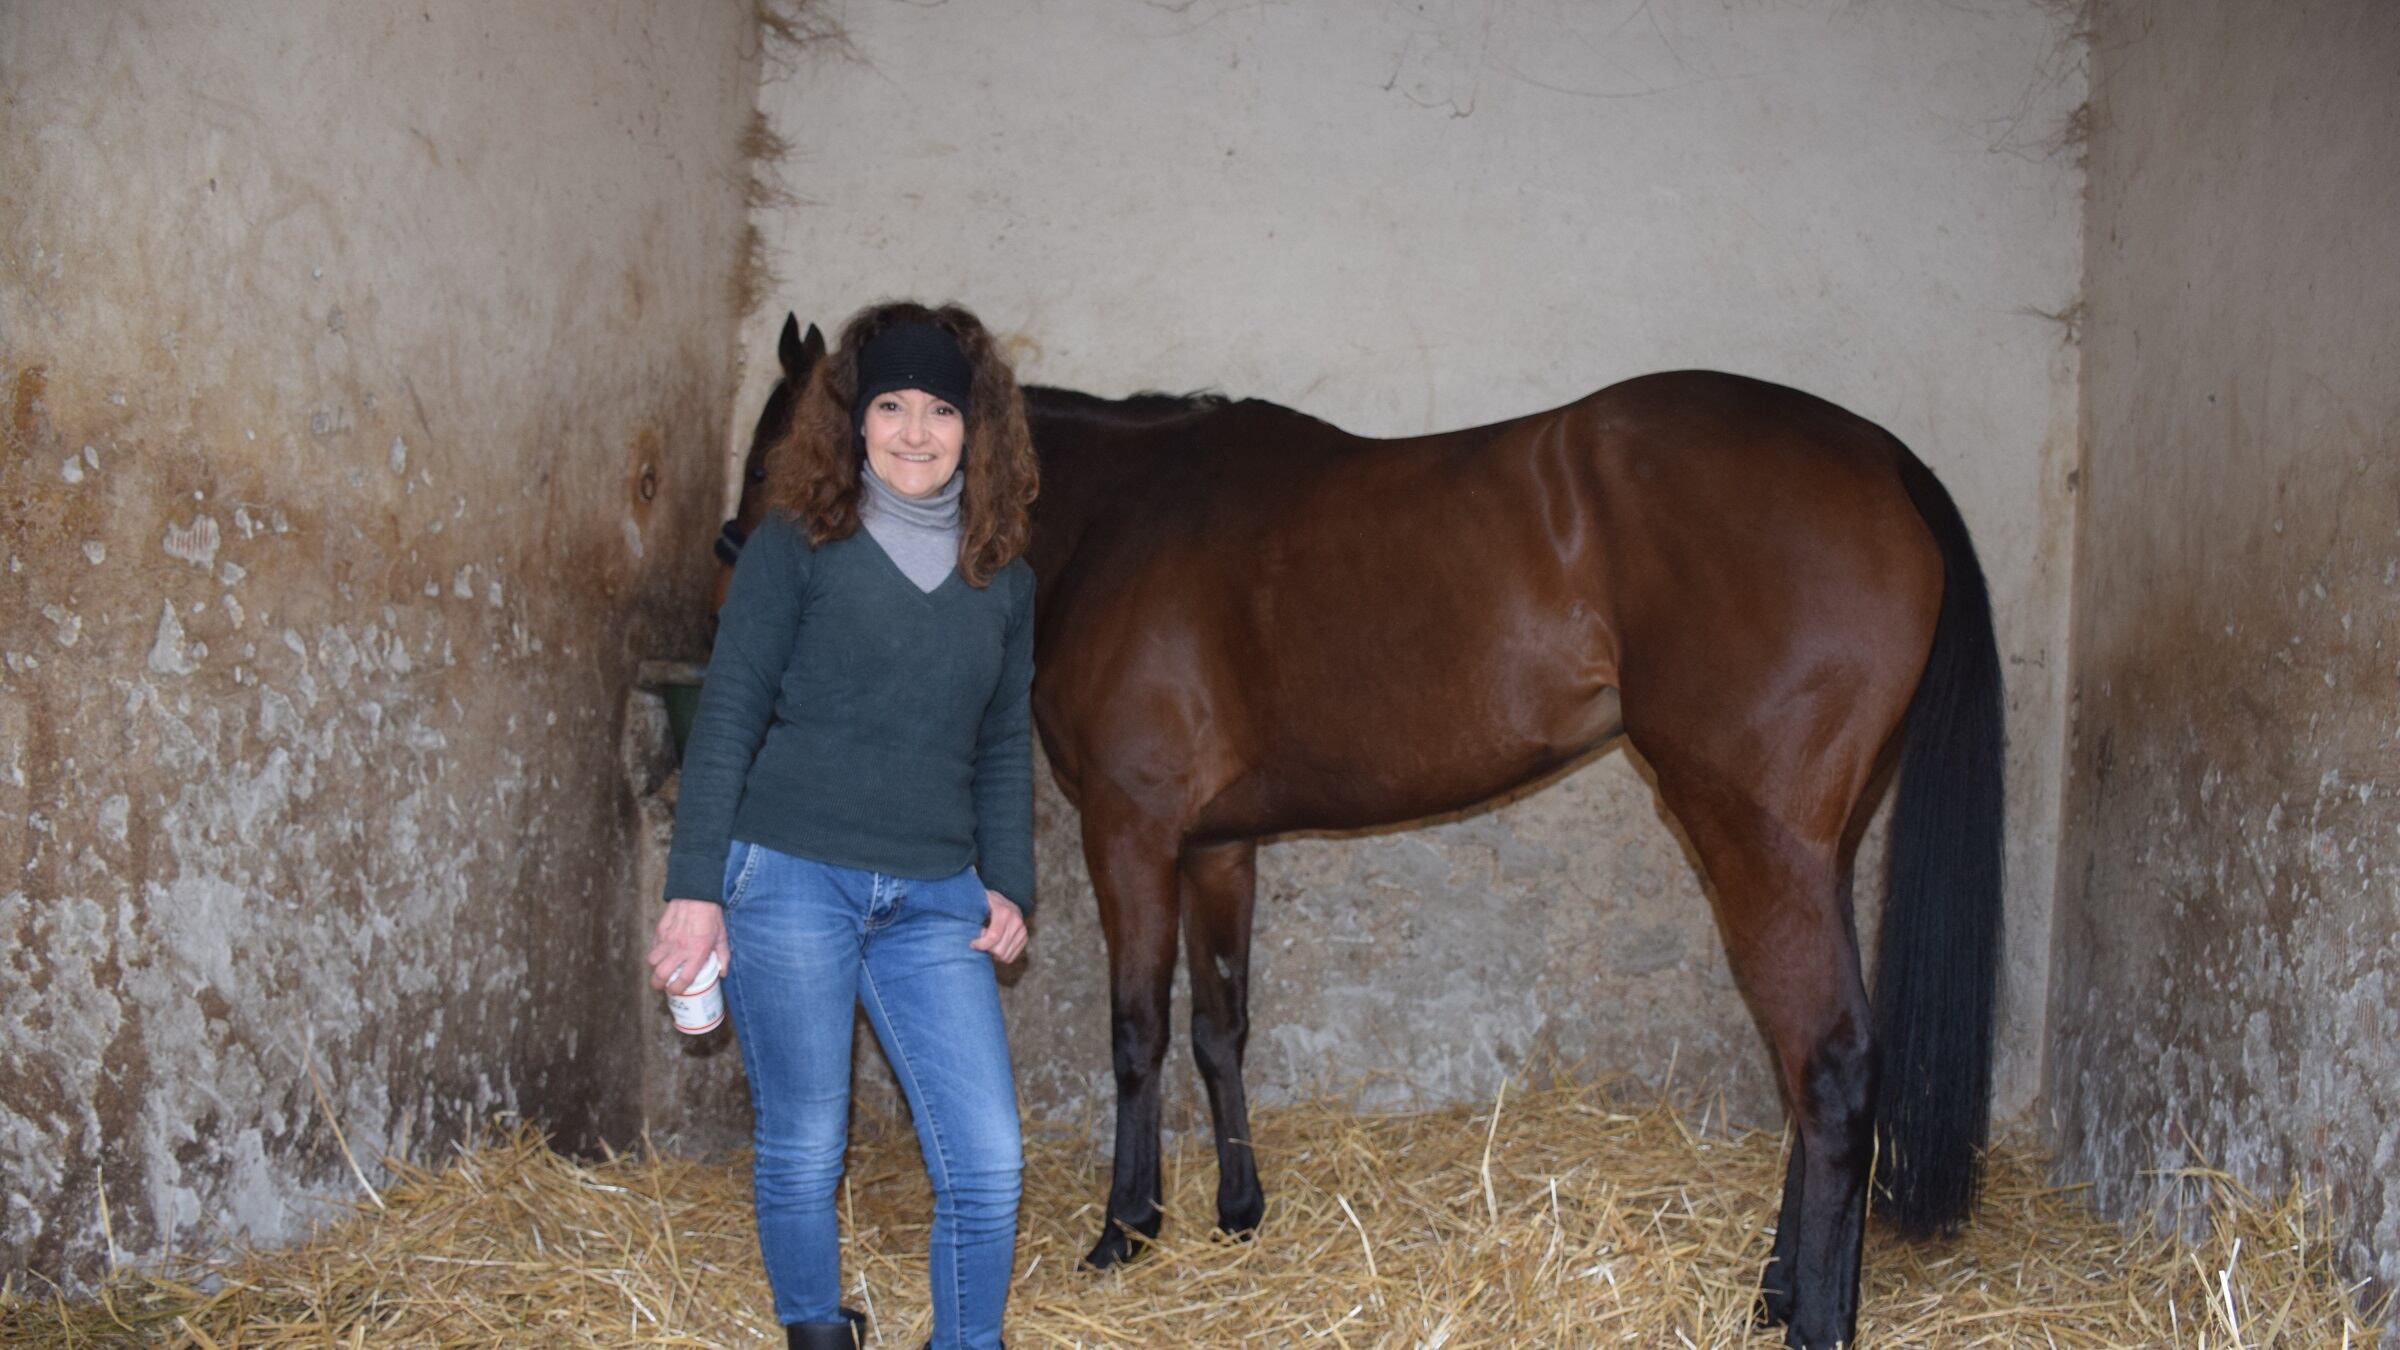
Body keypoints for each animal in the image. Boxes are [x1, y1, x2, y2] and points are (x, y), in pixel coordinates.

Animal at [720, 314, 2004, 1350]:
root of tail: (1880, 456)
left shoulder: (1131, 832)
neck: (1123, 517)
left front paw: (1126, 1229)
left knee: (1828, 1066)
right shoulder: (1216, 846)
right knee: (1819, 1070)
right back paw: (1782, 1292)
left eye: (782, 444)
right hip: (1815, 850)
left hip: (1757, 839)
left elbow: (1137, 1034)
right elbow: (1220, 1027)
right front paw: (1238, 1212)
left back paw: (1812, 1317)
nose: (736, 562)